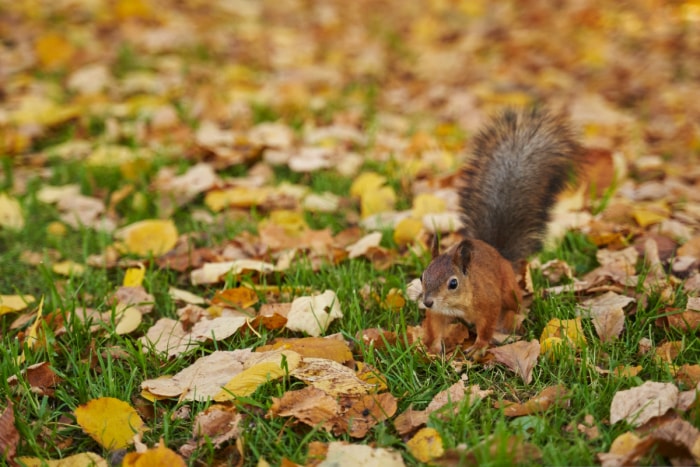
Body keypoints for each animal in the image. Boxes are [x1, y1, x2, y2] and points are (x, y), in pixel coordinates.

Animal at [418, 109, 584, 354]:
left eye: (453, 283)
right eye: (422, 276)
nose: (427, 301)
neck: (458, 303)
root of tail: (498, 253)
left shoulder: (488, 303)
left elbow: (486, 327)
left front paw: (479, 347)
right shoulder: (438, 313)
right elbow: (435, 327)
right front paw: (431, 349)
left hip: (508, 290)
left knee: (514, 306)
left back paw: (509, 321)